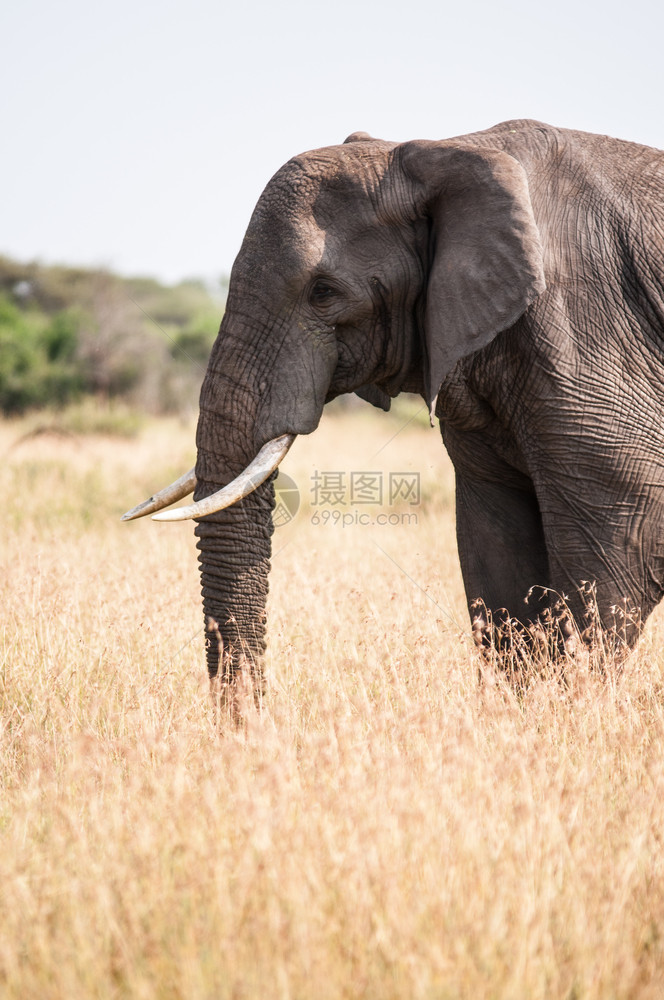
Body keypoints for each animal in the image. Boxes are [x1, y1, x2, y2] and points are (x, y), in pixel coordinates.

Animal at [122, 115, 664, 680]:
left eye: (323, 293)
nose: (250, 705)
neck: (440, 153)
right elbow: (497, 553)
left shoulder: (585, 326)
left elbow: (620, 534)